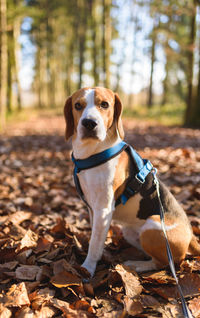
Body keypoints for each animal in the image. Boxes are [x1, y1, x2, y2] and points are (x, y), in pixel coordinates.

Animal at [63, 86, 200, 276]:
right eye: (77, 105)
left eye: (104, 104)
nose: (89, 123)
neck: (92, 153)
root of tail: (191, 234)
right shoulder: (93, 209)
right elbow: (95, 238)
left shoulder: (103, 210)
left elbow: (95, 244)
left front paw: (88, 268)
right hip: (130, 231)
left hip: (152, 227)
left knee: (165, 263)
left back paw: (137, 265)